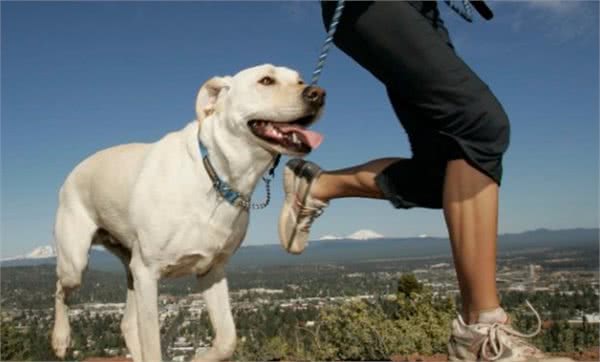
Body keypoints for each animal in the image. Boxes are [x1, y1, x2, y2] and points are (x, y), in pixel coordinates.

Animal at [50, 65, 324, 362]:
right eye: (266, 80)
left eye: (300, 80)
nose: (318, 94)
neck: (217, 175)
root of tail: (73, 171)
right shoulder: (148, 273)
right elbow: (153, 345)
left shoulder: (211, 270)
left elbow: (227, 339)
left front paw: (201, 357)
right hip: (77, 263)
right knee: (60, 288)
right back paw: (60, 339)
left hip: (131, 269)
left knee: (127, 323)